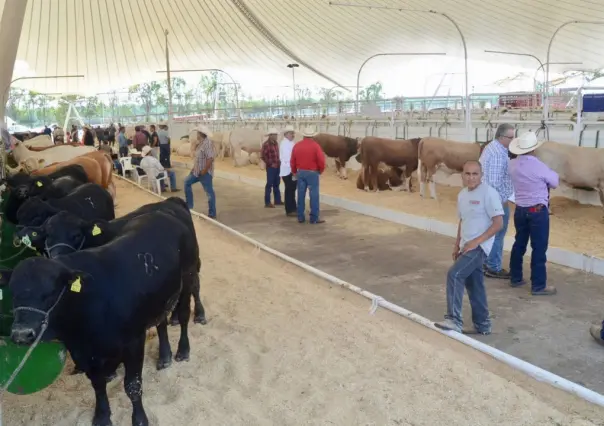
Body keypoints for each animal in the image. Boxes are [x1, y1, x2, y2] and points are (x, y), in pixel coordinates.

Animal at [1, 211, 193, 426]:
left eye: (50, 293)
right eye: (13, 293)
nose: (21, 334)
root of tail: (161, 213)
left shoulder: (134, 342)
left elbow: (132, 385)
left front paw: (140, 419)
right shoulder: (82, 352)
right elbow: (97, 384)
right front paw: (102, 416)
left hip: (189, 277)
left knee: (184, 315)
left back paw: (183, 350)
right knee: (161, 323)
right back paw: (165, 356)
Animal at [17, 198, 206, 324]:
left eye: (76, 235)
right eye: (47, 235)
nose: (57, 256)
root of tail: (172, 200)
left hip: (193, 260)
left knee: (194, 285)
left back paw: (199, 314)